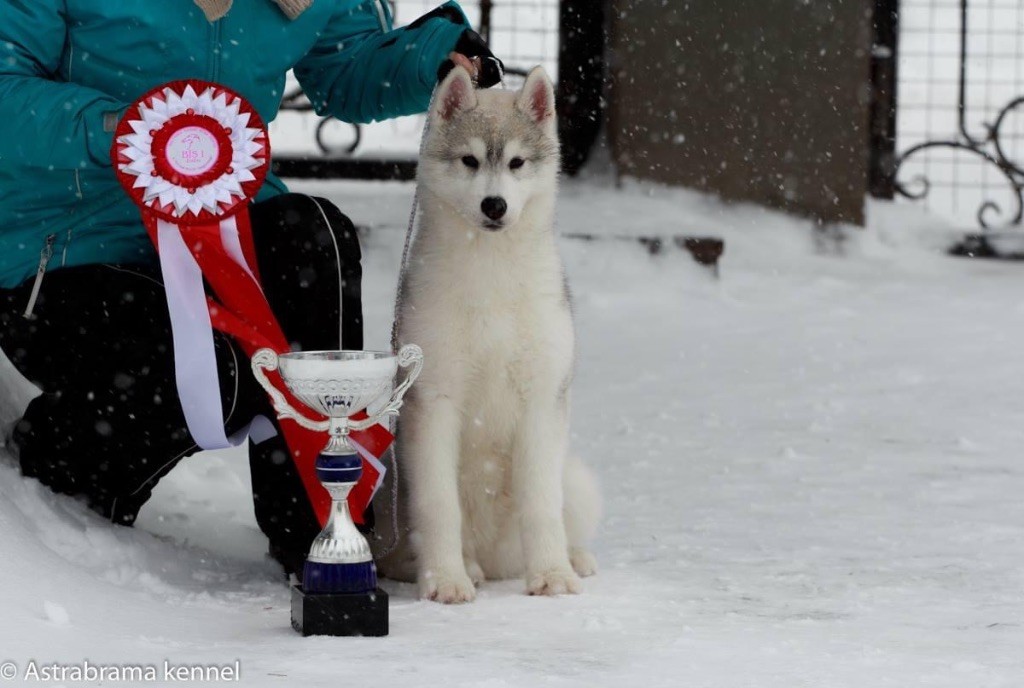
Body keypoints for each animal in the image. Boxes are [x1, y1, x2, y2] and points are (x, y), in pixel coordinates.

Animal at [382, 64, 598, 602]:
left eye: (517, 162)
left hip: (577, 477)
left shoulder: (543, 399)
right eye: (470, 160)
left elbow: (540, 502)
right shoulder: (434, 400)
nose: (494, 204)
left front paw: (552, 574)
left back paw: (574, 559)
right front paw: (445, 580)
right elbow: (439, 506)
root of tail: (502, 563)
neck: (492, 273)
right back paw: (461, 568)